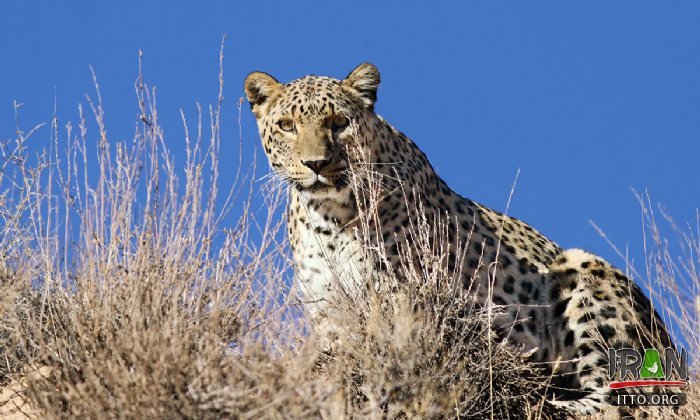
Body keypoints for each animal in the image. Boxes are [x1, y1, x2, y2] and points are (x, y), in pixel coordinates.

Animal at [245, 64, 672, 416]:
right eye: (287, 125)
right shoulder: (329, 313)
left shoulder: (398, 302)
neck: (329, 218)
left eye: (338, 123)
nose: (315, 164)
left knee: (627, 399)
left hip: (585, 270)